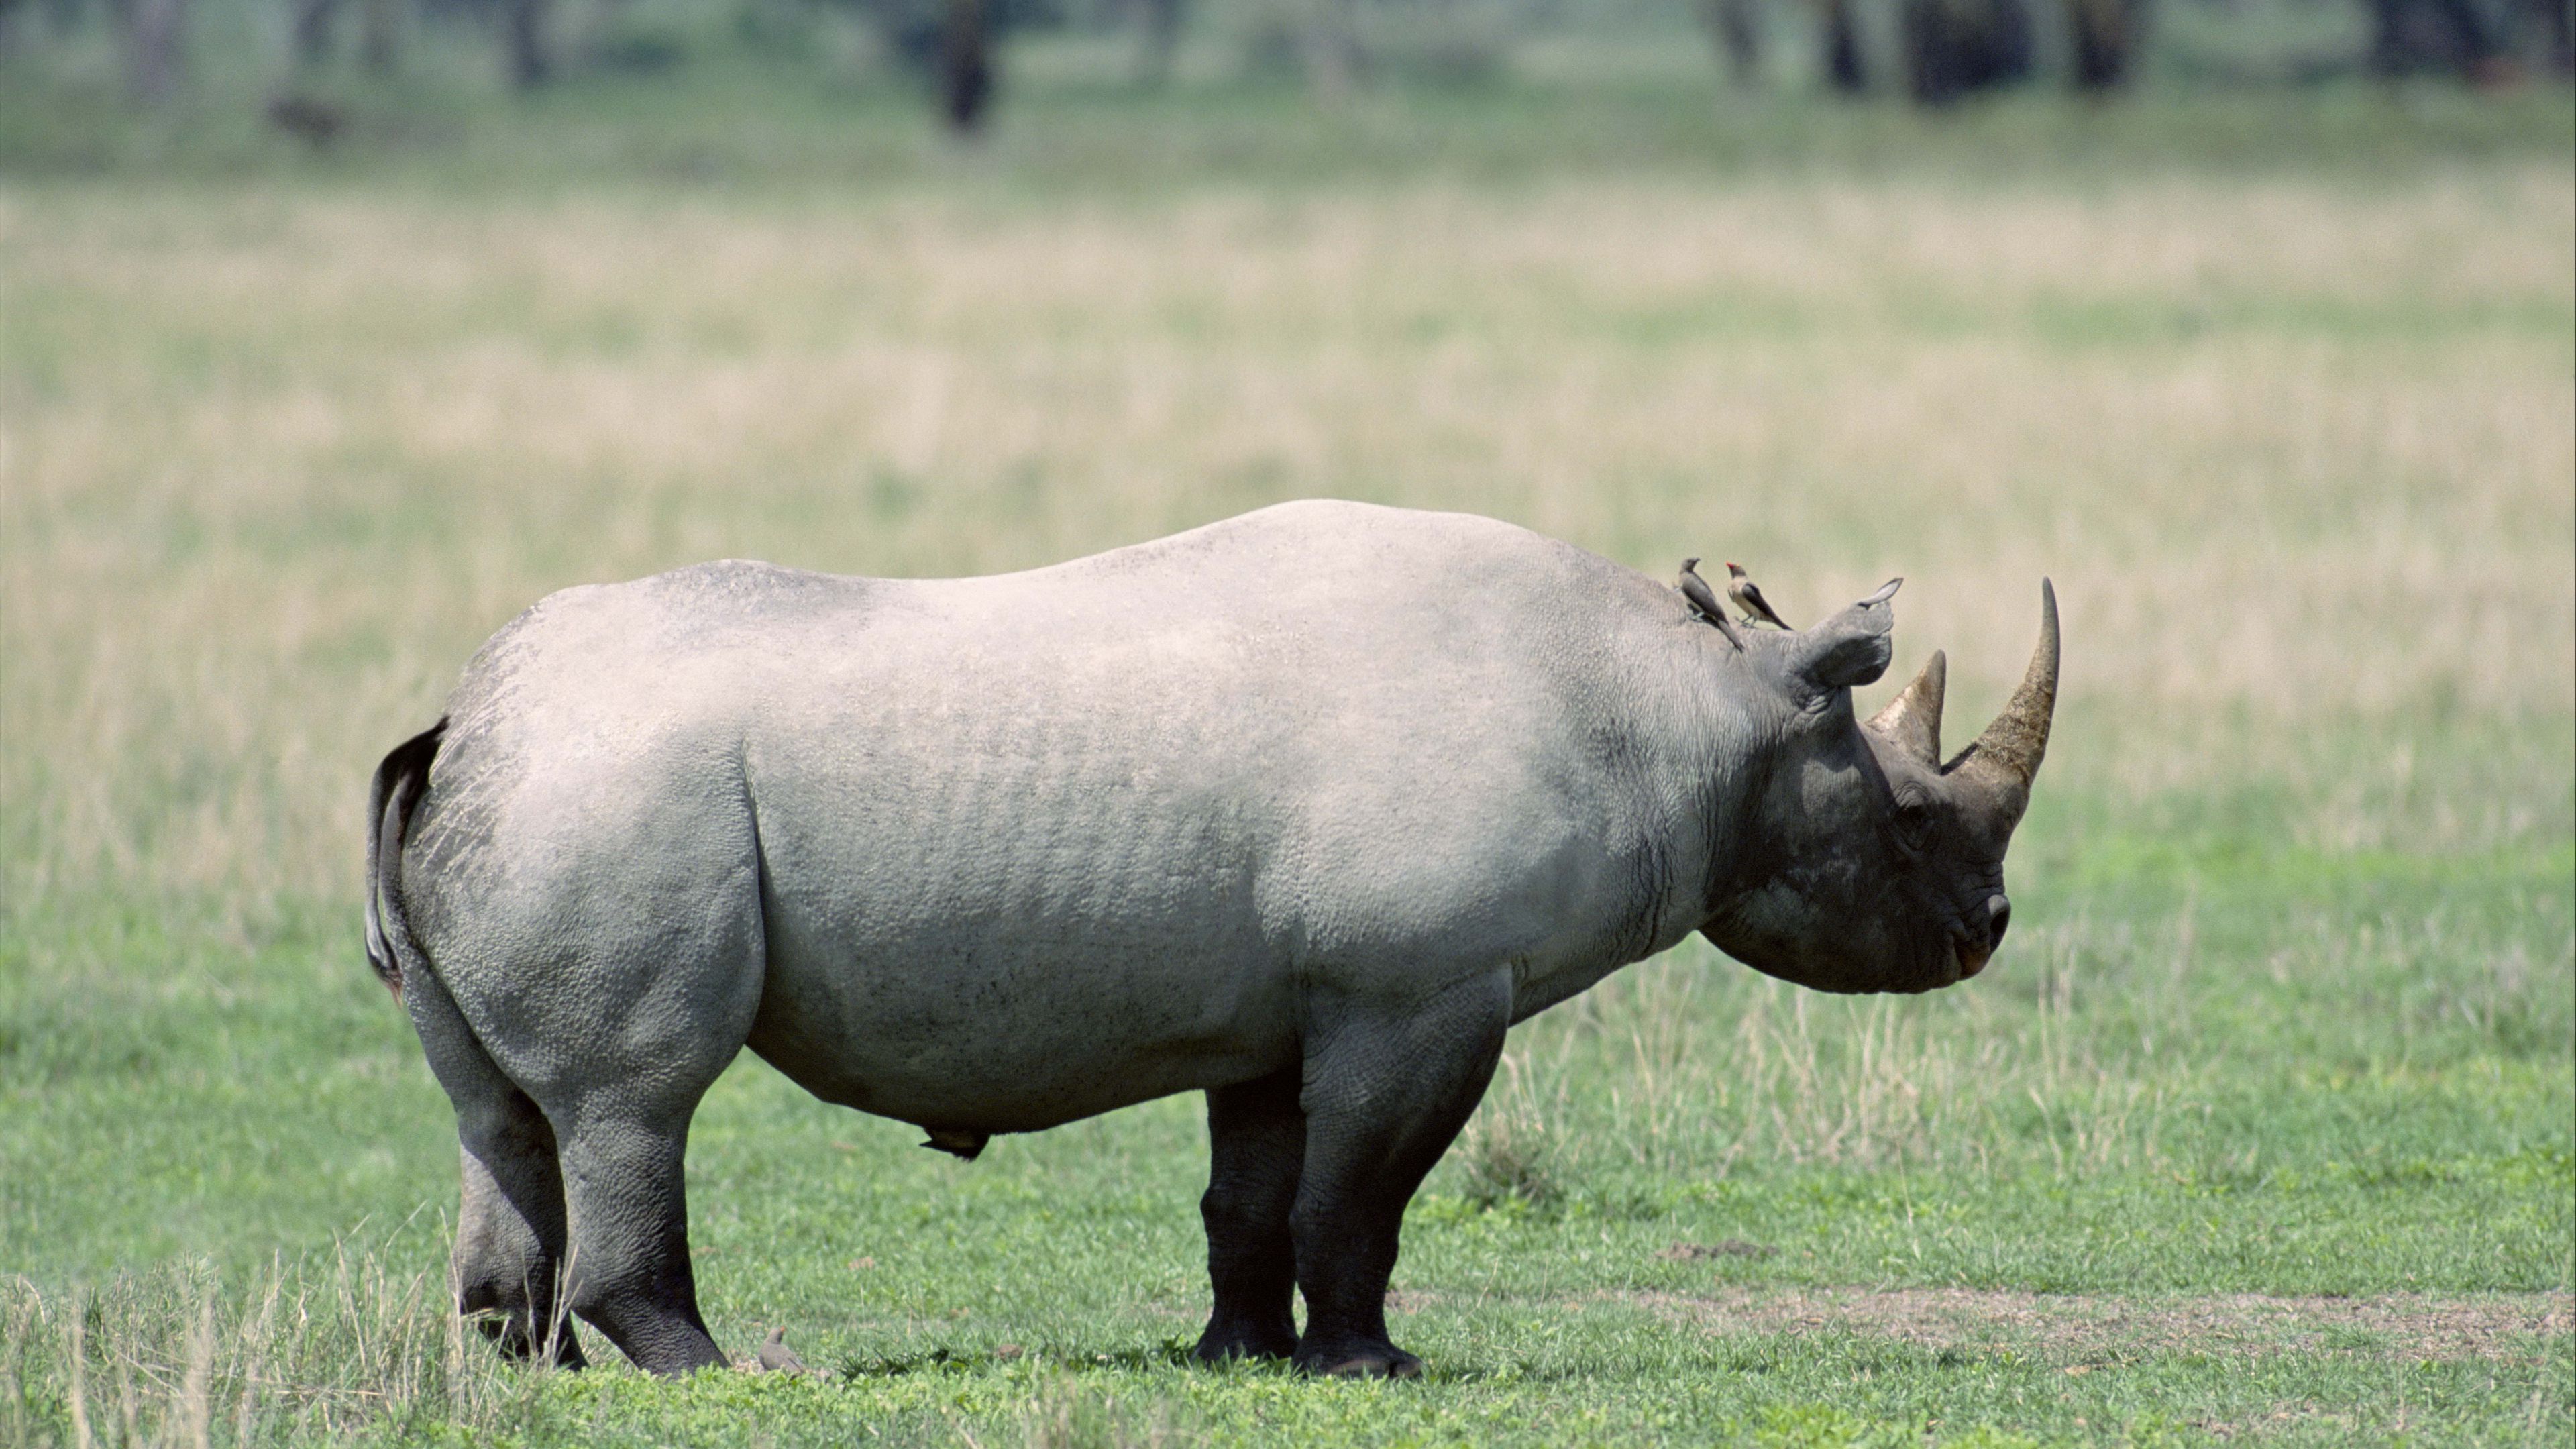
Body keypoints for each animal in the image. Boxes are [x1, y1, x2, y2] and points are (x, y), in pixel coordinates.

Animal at [364, 500, 2057, 1378]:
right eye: (1912, 822)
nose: (1985, 927)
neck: (1694, 711)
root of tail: (462, 722)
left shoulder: (1287, 998)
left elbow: (1252, 1191)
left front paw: (1236, 1357)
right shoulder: (1421, 983)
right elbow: (1361, 1190)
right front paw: (1371, 1367)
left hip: (532, 788)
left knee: (502, 1110)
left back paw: (526, 1369)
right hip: (612, 795)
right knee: (637, 1096)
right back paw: (727, 1374)